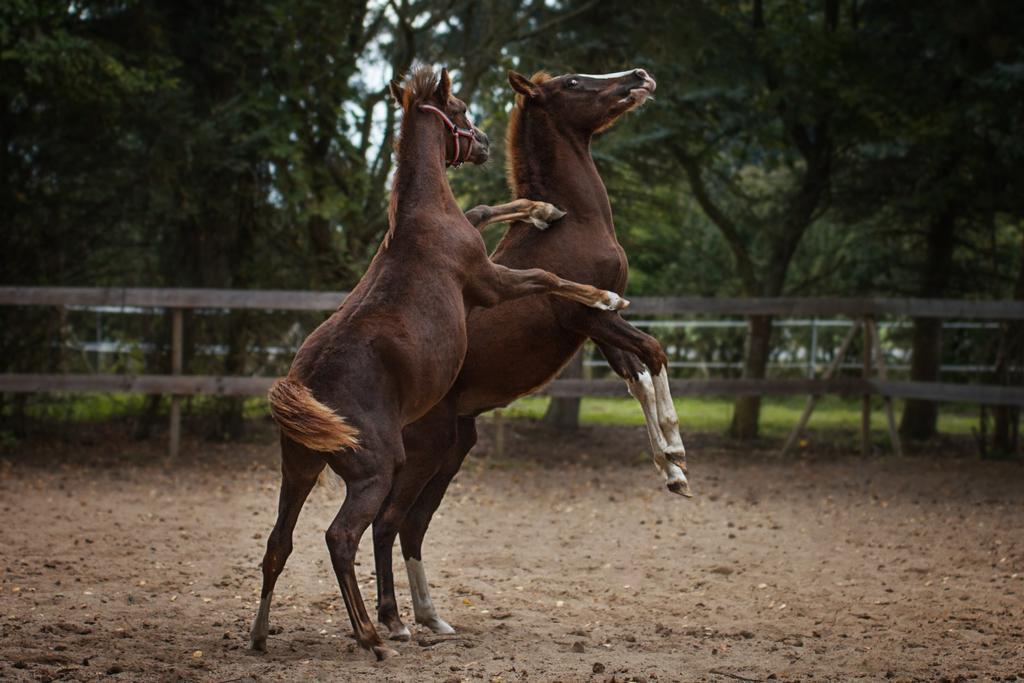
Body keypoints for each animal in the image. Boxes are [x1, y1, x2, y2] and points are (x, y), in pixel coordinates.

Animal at [250, 66, 626, 659]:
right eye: (461, 108)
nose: (485, 141)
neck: (419, 218)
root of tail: (302, 387)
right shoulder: (490, 283)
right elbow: (545, 276)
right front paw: (603, 295)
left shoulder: (477, 248)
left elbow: (484, 209)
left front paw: (545, 210)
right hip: (379, 470)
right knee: (347, 536)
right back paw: (375, 635)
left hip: (299, 471)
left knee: (278, 542)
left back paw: (262, 633)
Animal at [368, 66, 688, 638]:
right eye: (575, 82)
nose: (639, 76)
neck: (575, 223)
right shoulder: (590, 318)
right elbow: (653, 352)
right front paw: (677, 451)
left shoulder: (598, 331)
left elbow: (637, 376)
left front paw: (670, 471)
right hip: (429, 449)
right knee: (387, 522)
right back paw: (397, 622)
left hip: (455, 448)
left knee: (413, 526)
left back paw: (432, 617)